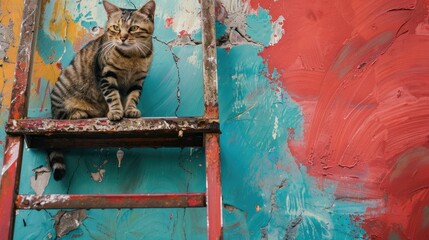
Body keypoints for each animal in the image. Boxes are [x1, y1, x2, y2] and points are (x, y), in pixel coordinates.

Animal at [49, 0, 155, 180]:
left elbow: (133, 97)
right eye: (116, 28)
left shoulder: (137, 80)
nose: (123, 38)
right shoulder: (106, 75)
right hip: (63, 94)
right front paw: (116, 112)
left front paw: (130, 110)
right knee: (60, 115)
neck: (132, 57)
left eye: (133, 28)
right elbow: (112, 96)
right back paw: (78, 113)